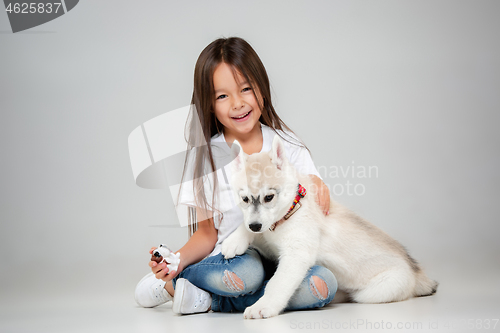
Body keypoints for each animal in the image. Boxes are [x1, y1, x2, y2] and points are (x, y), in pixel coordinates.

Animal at [222, 135, 438, 320]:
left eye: (269, 197)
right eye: (244, 199)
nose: (255, 225)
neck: (290, 211)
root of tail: (416, 270)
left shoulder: (296, 254)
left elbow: (277, 283)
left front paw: (263, 305)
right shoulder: (268, 237)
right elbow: (248, 226)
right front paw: (234, 240)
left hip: (378, 290)